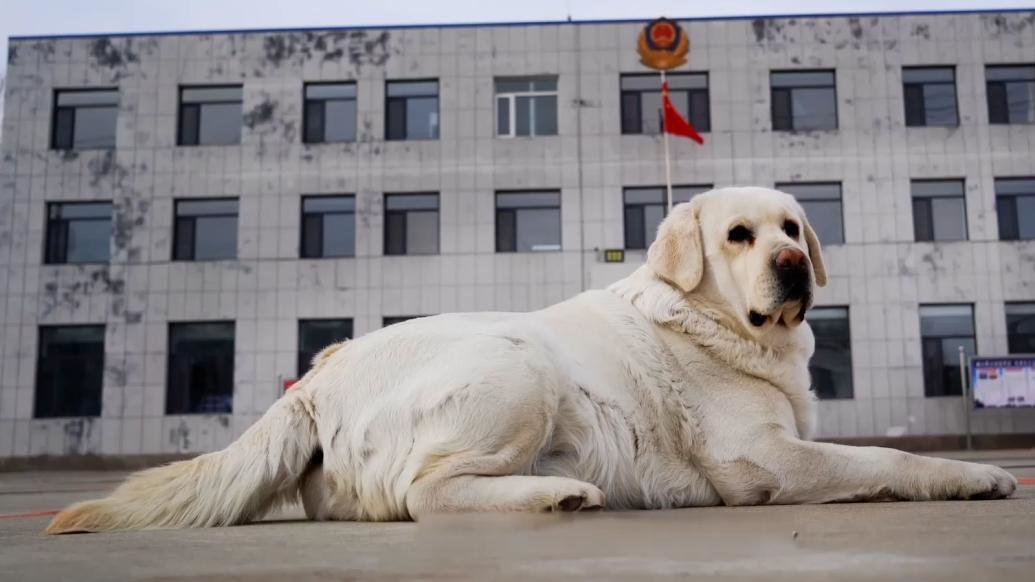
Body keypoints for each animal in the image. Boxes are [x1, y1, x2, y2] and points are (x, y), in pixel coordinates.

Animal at [44, 184, 1014, 530]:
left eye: (790, 228)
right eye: (738, 235)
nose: (790, 266)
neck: (717, 324)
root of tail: (316, 378)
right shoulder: (759, 460)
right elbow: (885, 457)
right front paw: (976, 478)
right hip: (517, 365)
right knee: (425, 495)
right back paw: (555, 495)